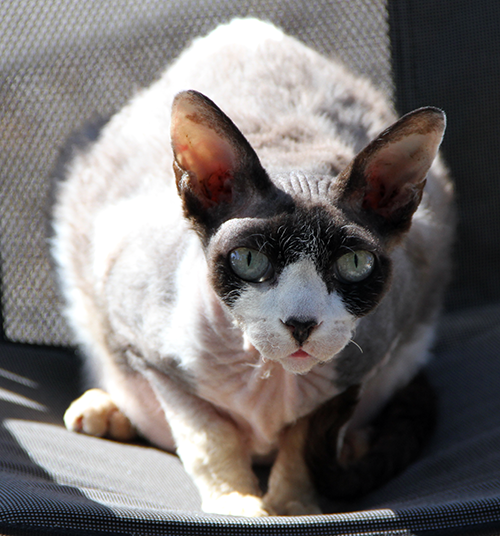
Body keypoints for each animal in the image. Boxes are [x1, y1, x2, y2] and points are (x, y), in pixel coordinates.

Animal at [50, 18, 454, 516]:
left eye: (354, 263)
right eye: (249, 260)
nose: (301, 323)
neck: (269, 376)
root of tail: (248, 26)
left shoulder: (360, 366)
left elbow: (300, 447)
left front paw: (290, 508)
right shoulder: (153, 358)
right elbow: (209, 439)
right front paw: (239, 506)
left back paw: (355, 445)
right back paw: (104, 411)